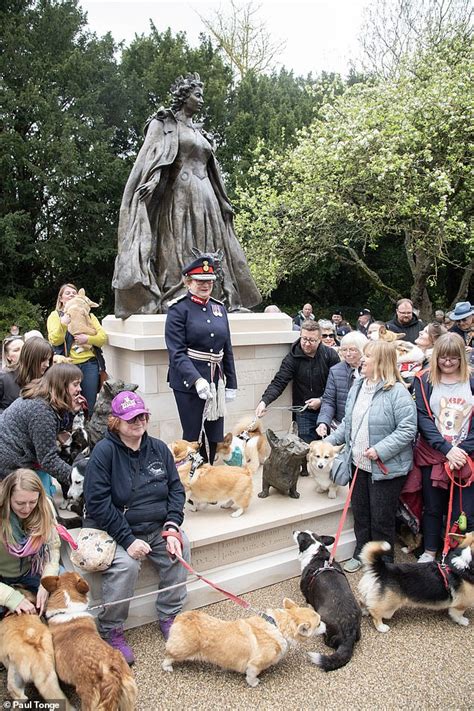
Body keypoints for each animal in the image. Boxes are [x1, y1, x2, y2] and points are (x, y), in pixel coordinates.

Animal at [161, 596, 324, 688]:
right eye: (319, 624)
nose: (327, 625)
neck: (278, 626)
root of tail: (182, 617)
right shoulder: (254, 664)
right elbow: (251, 675)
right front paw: (254, 683)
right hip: (182, 649)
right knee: (168, 655)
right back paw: (168, 667)